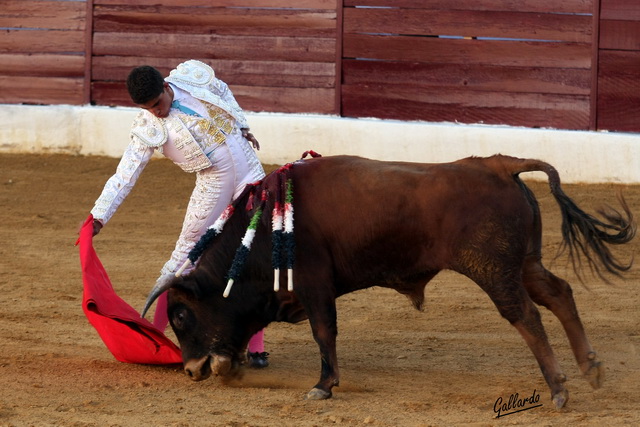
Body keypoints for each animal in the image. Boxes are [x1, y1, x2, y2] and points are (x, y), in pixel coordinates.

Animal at [142, 155, 632, 410]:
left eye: (181, 316)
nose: (191, 370)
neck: (262, 232)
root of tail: (498, 164)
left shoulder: (315, 284)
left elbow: (324, 332)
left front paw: (324, 385)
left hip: (494, 271)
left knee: (526, 315)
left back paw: (559, 388)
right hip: (524, 263)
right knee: (558, 294)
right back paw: (590, 367)